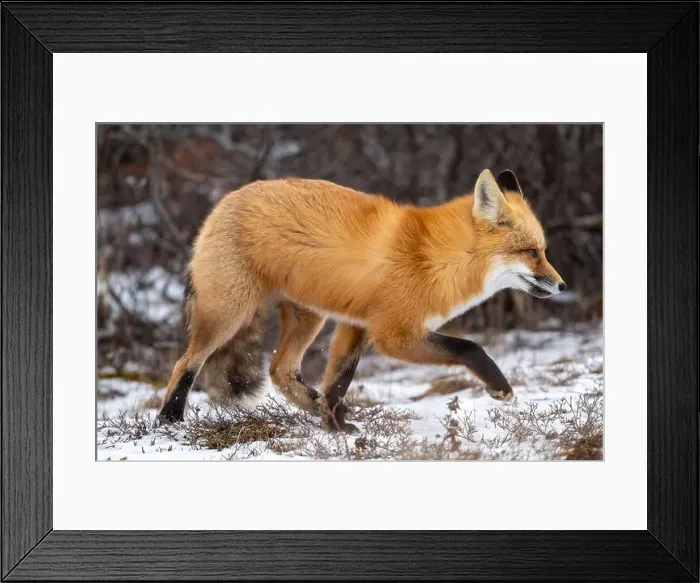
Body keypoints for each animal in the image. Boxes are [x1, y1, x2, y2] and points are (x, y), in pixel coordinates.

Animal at [157, 169, 566, 433]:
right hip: (228, 313)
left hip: (309, 318)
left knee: (280, 371)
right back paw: (169, 420)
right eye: (531, 252)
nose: (562, 286)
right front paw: (500, 386)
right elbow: (470, 347)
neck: (436, 257)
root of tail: (223, 201)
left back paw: (317, 407)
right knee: (184, 363)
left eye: (544, 251)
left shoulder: (357, 325)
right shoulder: (393, 334)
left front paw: (333, 424)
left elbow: (339, 379)